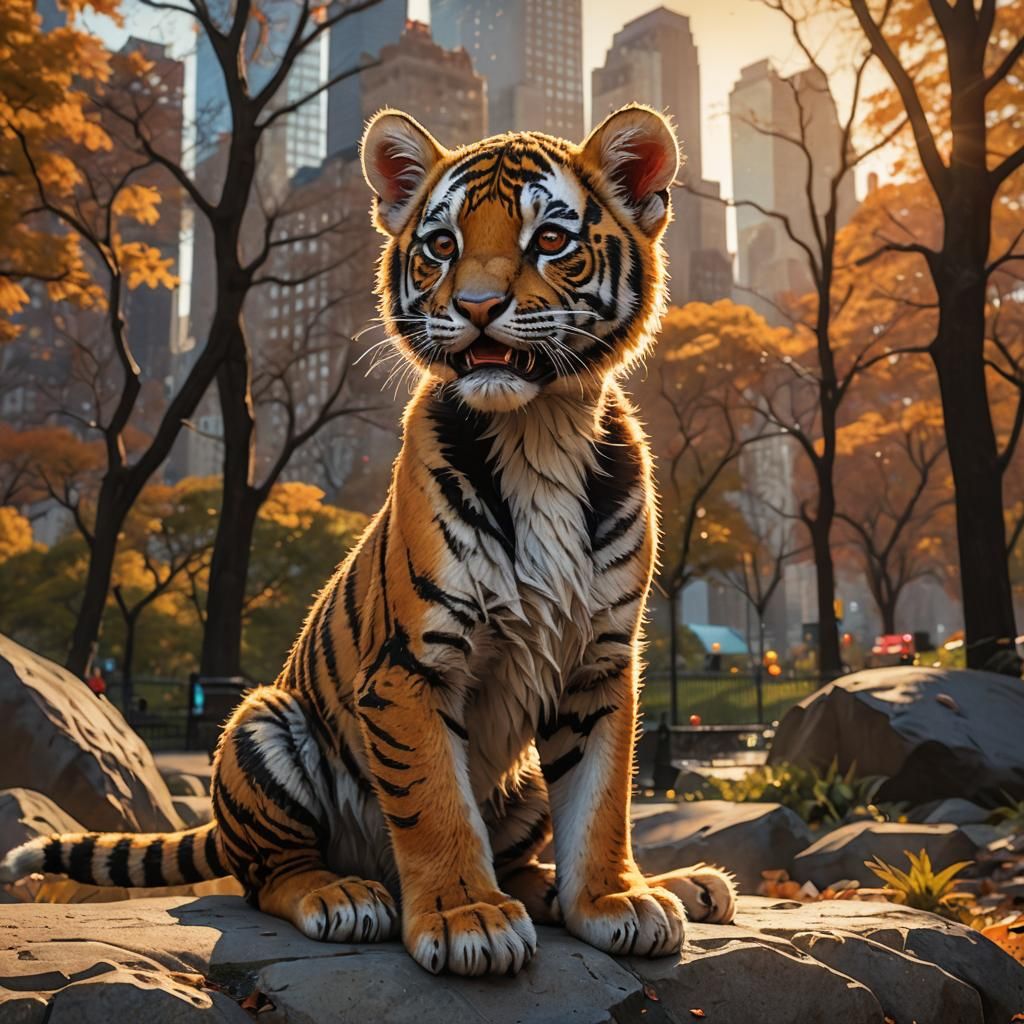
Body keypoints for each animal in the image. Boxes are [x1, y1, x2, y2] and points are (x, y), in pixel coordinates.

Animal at [0, 104, 737, 976]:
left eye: (550, 240)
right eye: (442, 244)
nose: (478, 306)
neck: (539, 431)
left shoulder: (598, 664)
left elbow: (601, 800)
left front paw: (613, 900)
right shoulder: (409, 666)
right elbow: (434, 804)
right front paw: (464, 919)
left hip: (518, 777)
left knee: (524, 865)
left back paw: (663, 886)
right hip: (260, 725)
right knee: (269, 875)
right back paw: (344, 896)